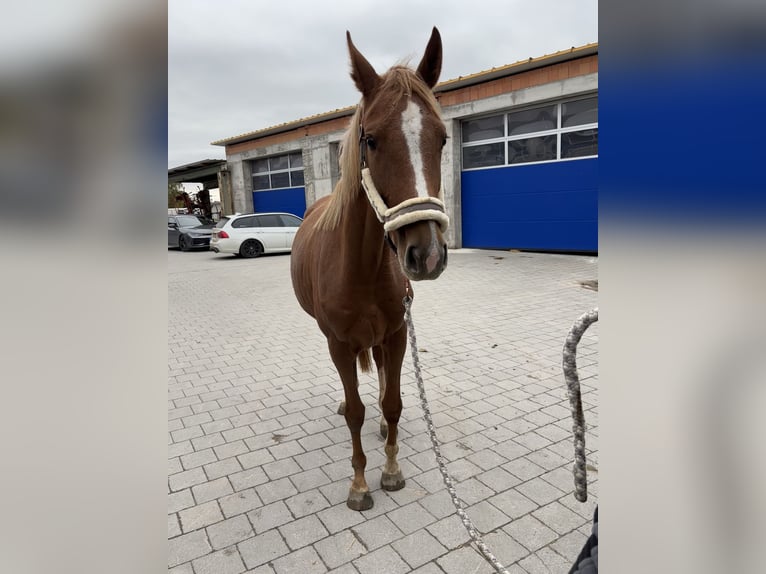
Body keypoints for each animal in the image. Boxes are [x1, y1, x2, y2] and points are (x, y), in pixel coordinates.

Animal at [292, 29, 450, 510]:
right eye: (372, 140)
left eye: (442, 139)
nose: (426, 254)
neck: (359, 268)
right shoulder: (339, 343)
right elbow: (357, 412)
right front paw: (359, 484)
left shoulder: (397, 333)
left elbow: (393, 402)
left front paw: (392, 470)